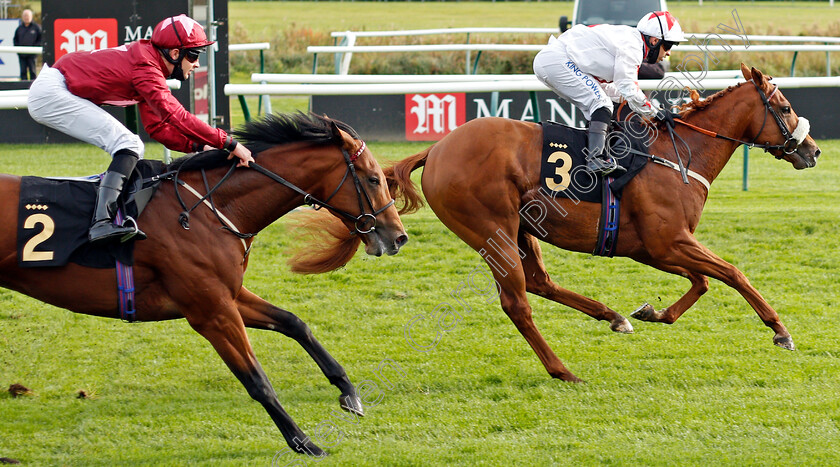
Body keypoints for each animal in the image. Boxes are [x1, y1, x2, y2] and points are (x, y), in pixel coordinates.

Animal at [0, 112, 406, 458]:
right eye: (373, 178)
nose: (398, 236)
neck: (208, 211)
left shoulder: (227, 295)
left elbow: (294, 323)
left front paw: (349, 393)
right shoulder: (211, 312)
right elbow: (257, 380)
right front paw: (304, 442)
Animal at [388, 63, 820, 384]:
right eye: (784, 108)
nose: (813, 151)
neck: (679, 155)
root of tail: (436, 149)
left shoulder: (651, 247)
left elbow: (702, 281)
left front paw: (652, 312)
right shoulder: (669, 241)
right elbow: (732, 273)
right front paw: (780, 330)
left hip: (522, 231)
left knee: (540, 283)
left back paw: (612, 317)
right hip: (491, 229)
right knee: (517, 303)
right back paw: (562, 370)